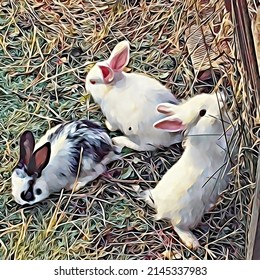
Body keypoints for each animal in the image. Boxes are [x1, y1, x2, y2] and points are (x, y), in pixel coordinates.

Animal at [141, 92, 235, 249]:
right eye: (202, 112)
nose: (221, 99)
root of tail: (159, 206)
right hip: (187, 216)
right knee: (177, 226)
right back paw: (192, 242)